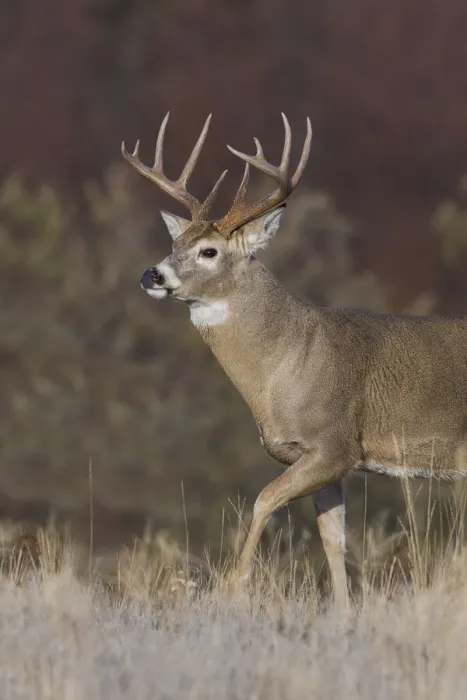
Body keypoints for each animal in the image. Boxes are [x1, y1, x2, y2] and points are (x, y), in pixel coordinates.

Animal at [122, 113, 467, 610]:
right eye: (176, 242)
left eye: (209, 250)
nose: (153, 274)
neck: (287, 363)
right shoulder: (327, 460)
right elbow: (332, 538)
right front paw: (343, 612)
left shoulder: (334, 444)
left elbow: (264, 500)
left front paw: (233, 591)